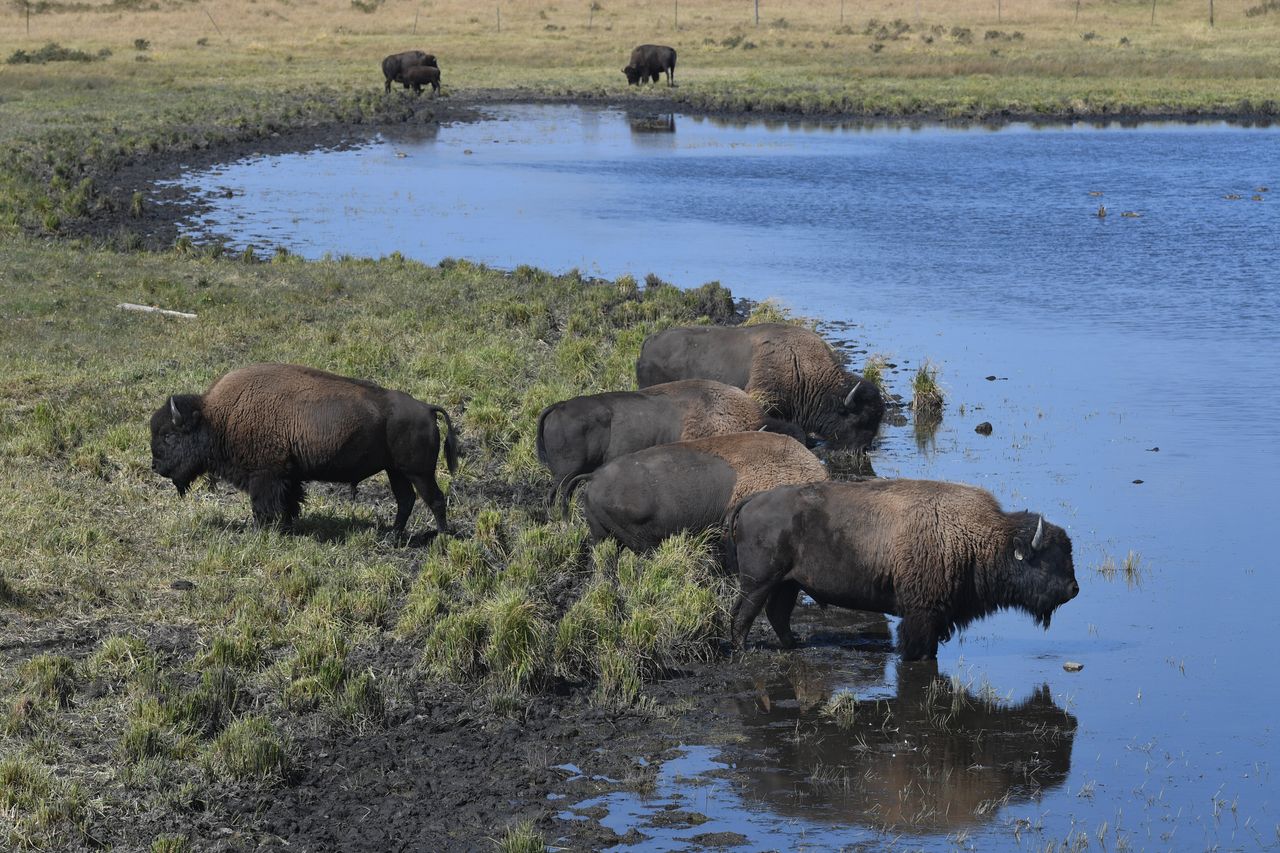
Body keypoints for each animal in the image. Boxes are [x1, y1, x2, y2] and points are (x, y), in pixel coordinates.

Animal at [149, 361, 460, 535]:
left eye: (169, 435)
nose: (156, 466)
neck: (217, 417)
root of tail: (426, 408)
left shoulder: (265, 475)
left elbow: (263, 506)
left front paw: (260, 532)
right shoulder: (288, 476)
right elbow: (289, 503)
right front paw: (287, 529)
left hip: (419, 472)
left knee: (434, 499)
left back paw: (441, 538)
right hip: (396, 471)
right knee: (406, 500)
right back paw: (392, 536)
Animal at [727, 479, 1075, 655]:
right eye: (1048, 560)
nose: (1074, 589)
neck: (976, 537)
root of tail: (752, 500)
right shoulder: (921, 614)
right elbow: (918, 647)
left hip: (788, 583)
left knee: (777, 613)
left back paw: (792, 644)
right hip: (759, 581)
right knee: (743, 614)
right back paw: (743, 650)